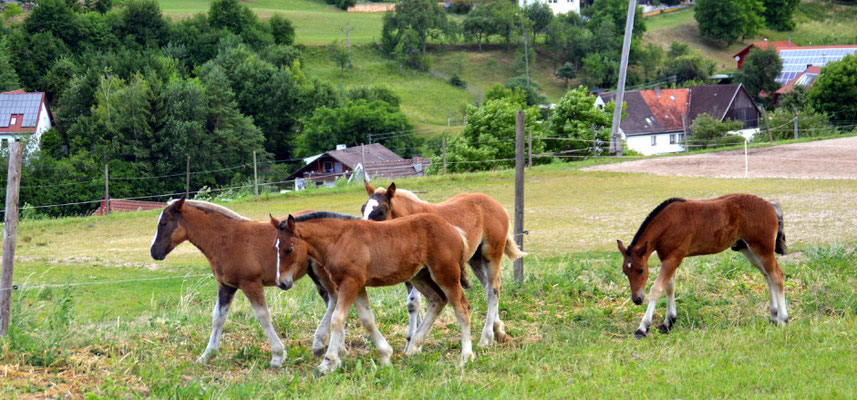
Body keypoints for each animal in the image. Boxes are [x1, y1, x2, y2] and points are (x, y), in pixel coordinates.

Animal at [149, 198, 330, 368]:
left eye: (164, 223)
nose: (154, 252)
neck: (228, 238)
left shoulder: (251, 283)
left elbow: (263, 316)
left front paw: (278, 356)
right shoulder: (226, 286)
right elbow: (218, 317)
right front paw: (207, 355)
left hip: (321, 272)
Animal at [616, 194, 788, 338]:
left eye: (641, 270)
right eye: (625, 272)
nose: (637, 299)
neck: (669, 223)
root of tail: (770, 205)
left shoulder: (673, 258)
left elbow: (656, 289)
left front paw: (642, 328)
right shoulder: (668, 258)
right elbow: (669, 287)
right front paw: (668, 322)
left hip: (763, 249)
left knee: (777, 276)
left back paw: (783, 319)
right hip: (748, 249)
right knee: (767, 276)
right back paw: (774, 316)